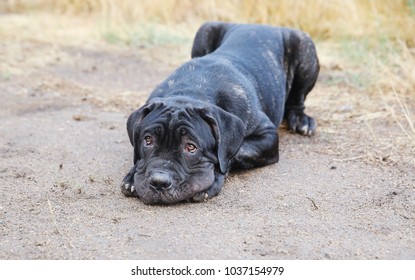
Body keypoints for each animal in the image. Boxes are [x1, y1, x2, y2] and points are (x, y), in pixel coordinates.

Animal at [121, 21, 322, 205]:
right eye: (148, 141)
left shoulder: (267, 135)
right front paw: (132, 176)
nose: (159, 181)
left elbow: (235, 152)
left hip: (304, 46)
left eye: (191, 147)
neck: (192, 90)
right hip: (205, 30)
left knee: (298, 99)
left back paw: (302, 120)